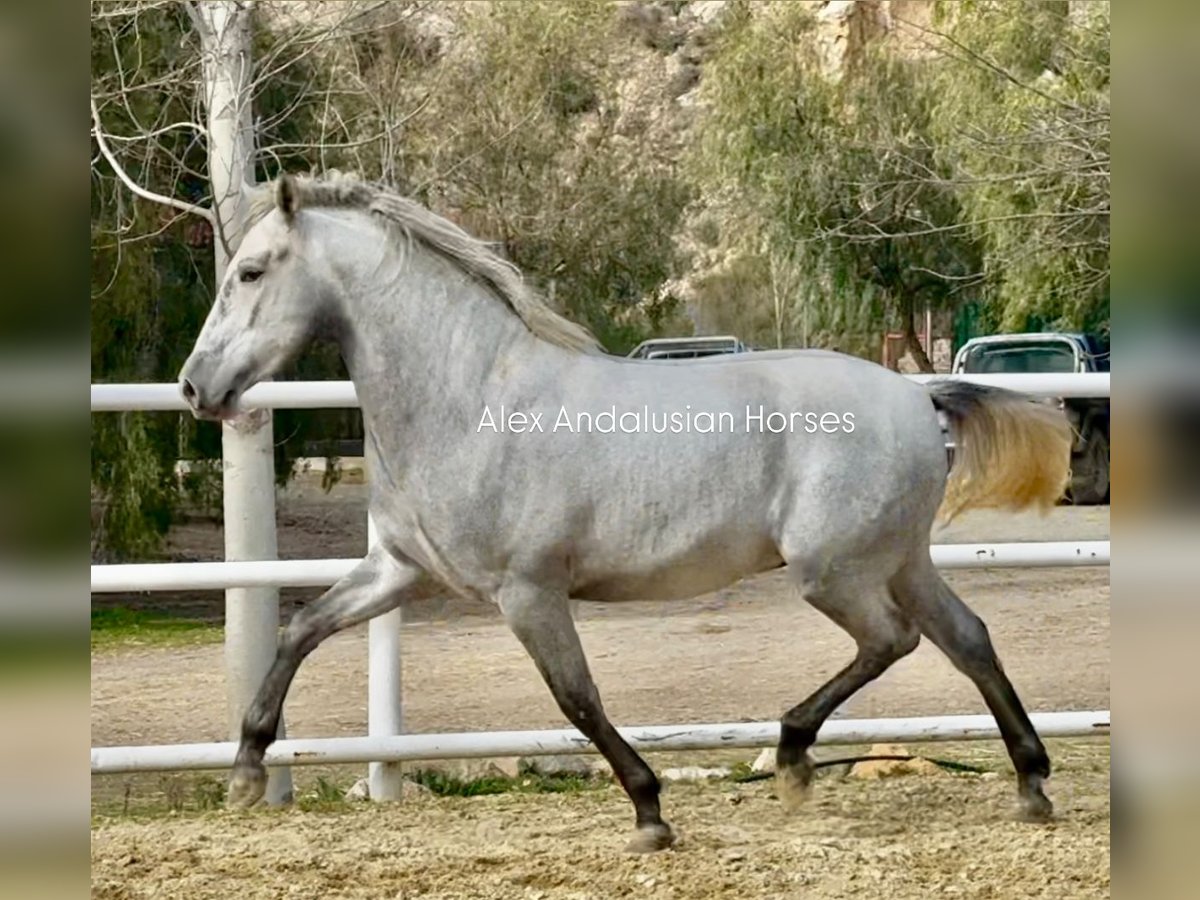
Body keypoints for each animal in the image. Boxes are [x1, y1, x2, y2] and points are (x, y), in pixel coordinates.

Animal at [175, 172, 1070, 854]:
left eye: (250, 272)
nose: (194, 387)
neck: (470, 400)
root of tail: (919, 397)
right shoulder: (400, 571)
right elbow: (301, 628)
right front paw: (246, 771)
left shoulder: (528, 592)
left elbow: (576, 698)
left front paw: (649, 813)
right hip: (899, 560)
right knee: (966, 638)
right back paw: (1030, 785)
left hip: (834, 571)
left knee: (894, 640)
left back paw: (792, 758)